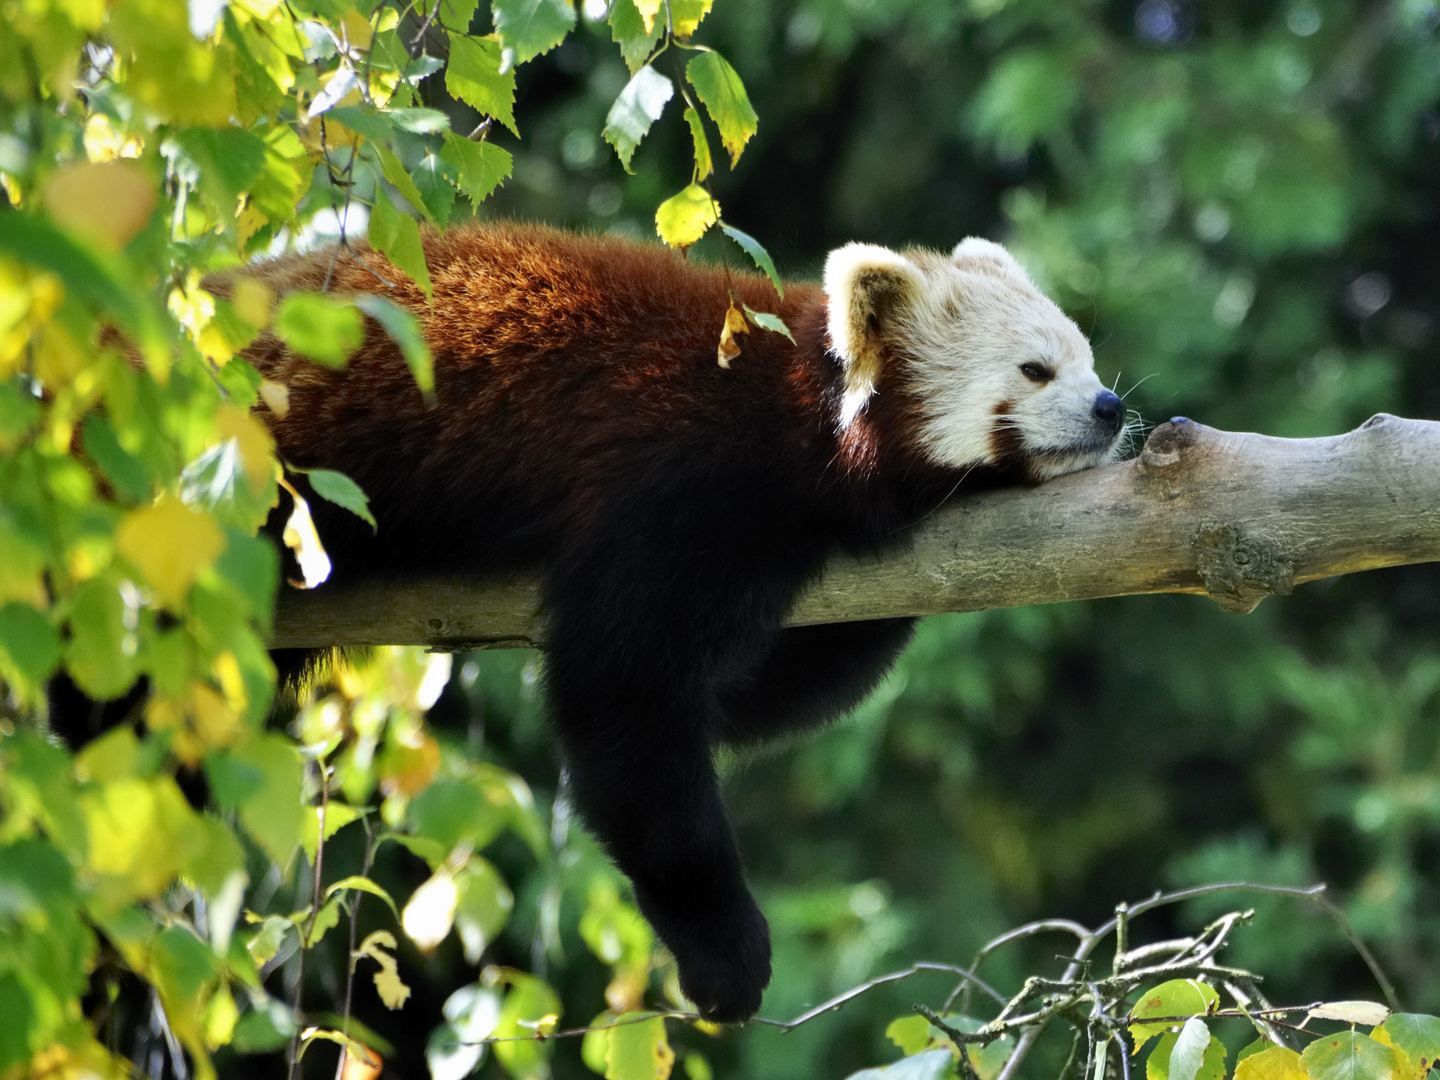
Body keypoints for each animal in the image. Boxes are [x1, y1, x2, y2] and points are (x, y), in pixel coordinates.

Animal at [210, 224, 1123, 1025]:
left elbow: (745, 699)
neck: (792, 404)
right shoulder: (673, 479)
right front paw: (726, 956)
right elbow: (624, 703)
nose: (1112, 407)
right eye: (1036, 370)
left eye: (1085, 359)